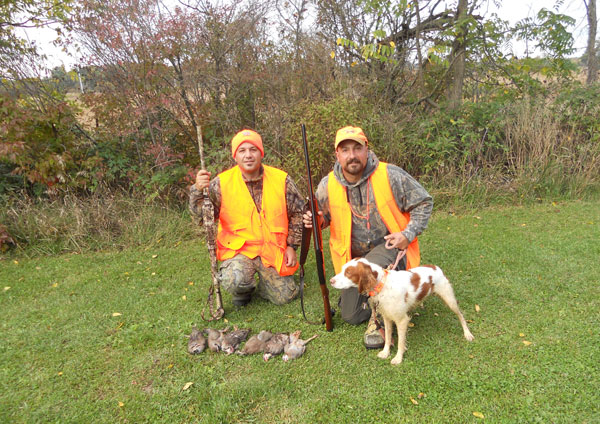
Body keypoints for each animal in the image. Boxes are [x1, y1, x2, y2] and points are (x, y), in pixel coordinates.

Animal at [328, 258, 474, 364]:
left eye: (348, 273)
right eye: (342, 269)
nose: (331, 281)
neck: (382, 285)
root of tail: (435, 267)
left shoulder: (402, 320)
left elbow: (400, 343)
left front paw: (398, 358)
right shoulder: (387, 318)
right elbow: (387, 338)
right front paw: (385, 353)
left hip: (449, 299)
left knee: (461, 316)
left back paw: (468, 334)